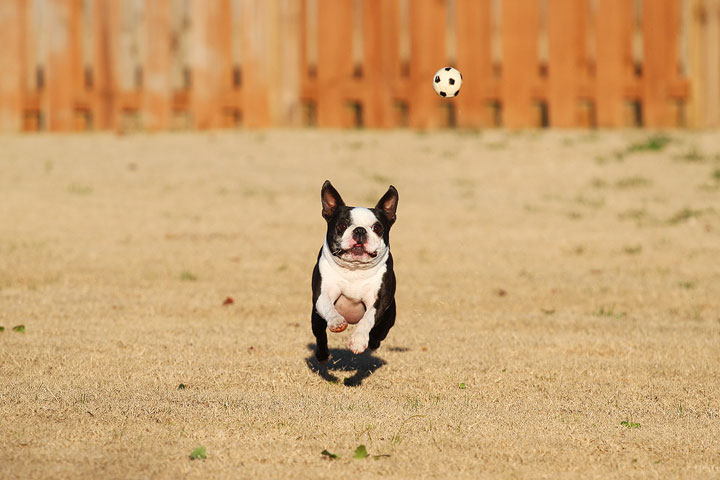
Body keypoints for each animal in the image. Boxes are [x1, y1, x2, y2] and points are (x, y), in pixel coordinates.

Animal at [310, 182, 400, 362]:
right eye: (342, 225)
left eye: (377, 228)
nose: (359, 230)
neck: (355, 270)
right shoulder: (322, 294)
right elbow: (328, 307)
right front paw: (337, 321)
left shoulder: (378, 301)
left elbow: (367, 319)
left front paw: (359, 341)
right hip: (316, 318)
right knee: (320, 335)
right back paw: (322, 355)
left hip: (389, 317)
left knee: (378, 334)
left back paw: (372, 342)